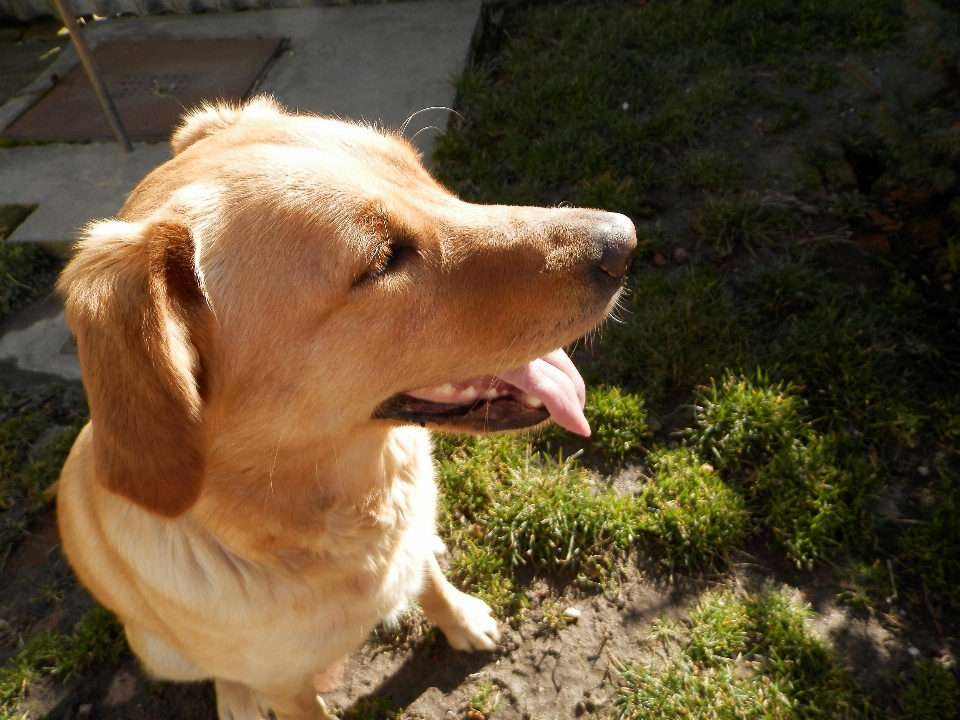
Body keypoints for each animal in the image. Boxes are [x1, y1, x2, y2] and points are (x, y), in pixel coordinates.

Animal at [54, 97, 636, 720]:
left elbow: (429, 582)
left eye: (424, 175)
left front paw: (458, 618)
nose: (624, 241)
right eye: (382, 261)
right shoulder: (285, 686)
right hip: (160, 649)